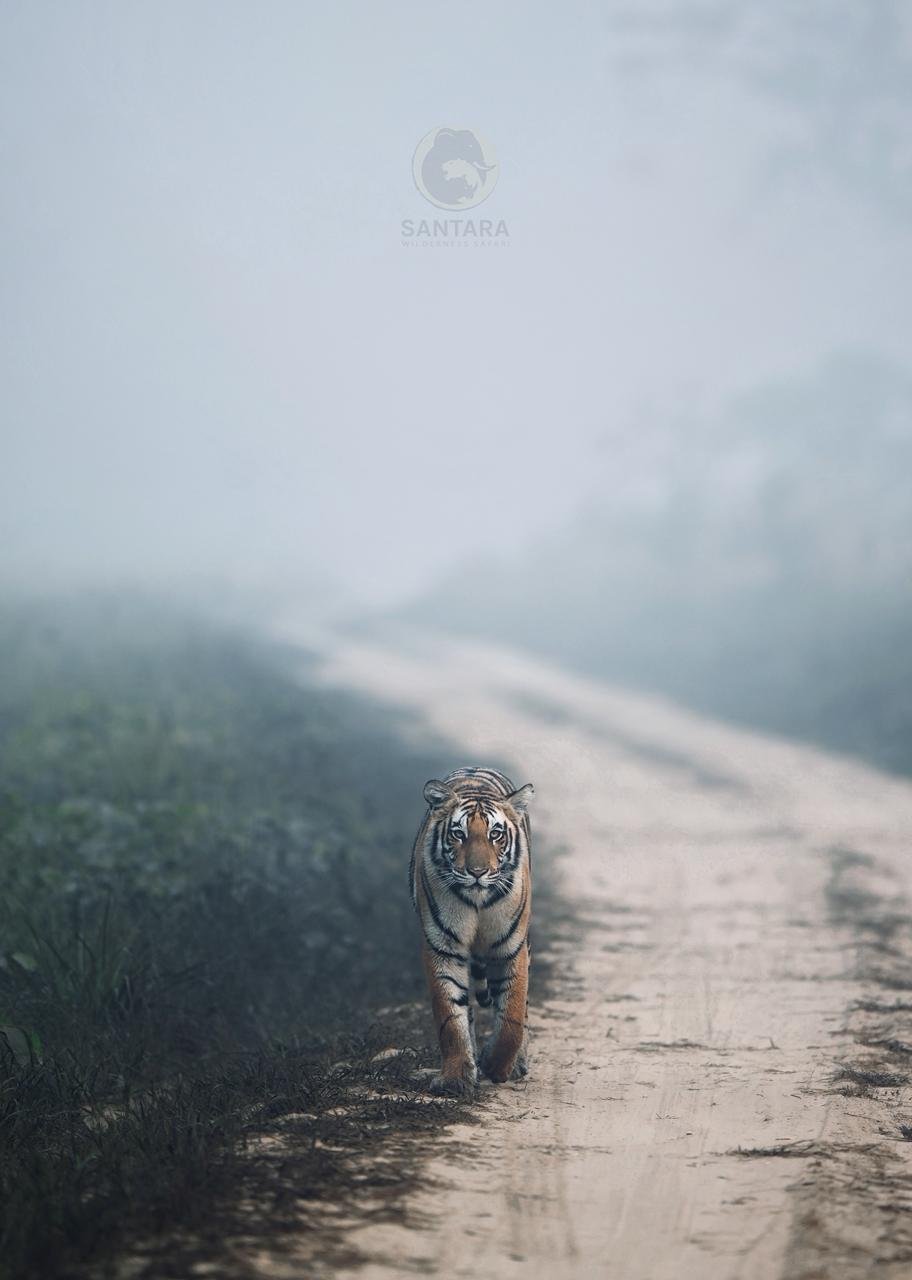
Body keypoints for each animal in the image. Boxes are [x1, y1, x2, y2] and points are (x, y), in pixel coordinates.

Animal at [409, 765, 534, 1097]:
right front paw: (456, 1078)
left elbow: (512, 1017)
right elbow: (451, 1018)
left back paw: (517, 1063)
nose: (477, 872)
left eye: (495, 834)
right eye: (458, 834)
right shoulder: (443, 947)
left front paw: (497, 1065)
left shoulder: (511, 948)